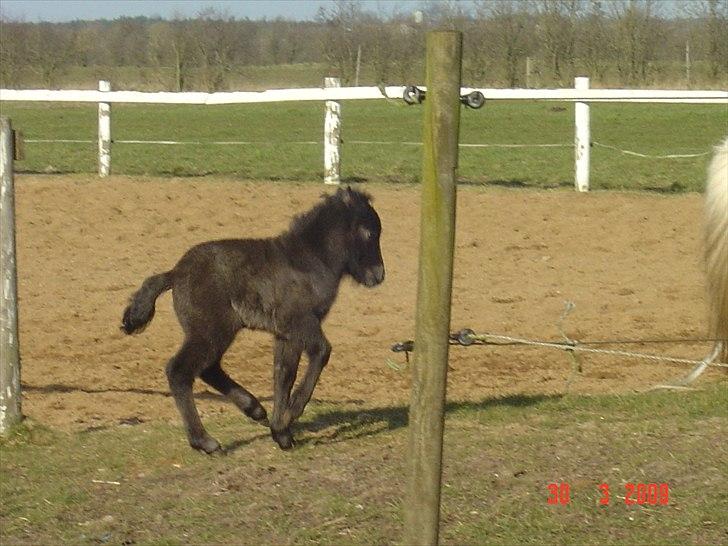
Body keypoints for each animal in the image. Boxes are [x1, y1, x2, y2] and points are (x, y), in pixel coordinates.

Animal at [121, 187, 386, 450]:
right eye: (369, 232)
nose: (379, 275)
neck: (309, 261)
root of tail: (175, 273)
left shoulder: (285, 333)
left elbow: (283, 374)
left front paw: (281, 432)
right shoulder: (300, 322)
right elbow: (322, 352)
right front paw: (292, 413)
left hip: (214, 331)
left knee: (208, 368)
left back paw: (255, 410)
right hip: (211, 331)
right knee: (180, 370)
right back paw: (205, 441)